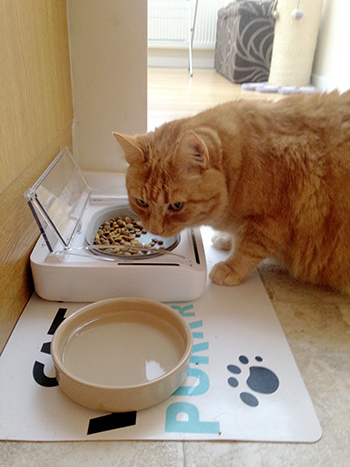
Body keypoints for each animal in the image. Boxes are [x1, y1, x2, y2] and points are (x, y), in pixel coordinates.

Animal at [114, 91, 350, 292]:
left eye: (176, 206)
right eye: (142, 202)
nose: (155, 229)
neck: (242, 168)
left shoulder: (272, 222)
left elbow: (250, 247)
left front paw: (231, 267)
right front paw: (228, 239)